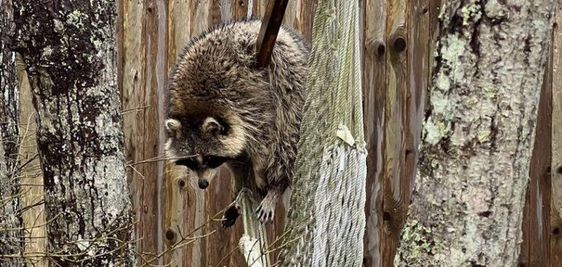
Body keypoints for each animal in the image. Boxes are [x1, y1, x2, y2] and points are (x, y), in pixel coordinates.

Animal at [164, 19, 308, 227]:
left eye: (210, 158)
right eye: (190, 161)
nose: (202, 184)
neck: (195, 111)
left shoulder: (245, 101)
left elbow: (263, 141)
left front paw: (262, 175)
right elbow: (237, 157)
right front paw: (240, 183)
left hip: (288, 75)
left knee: (287, 135)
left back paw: (276, 186)